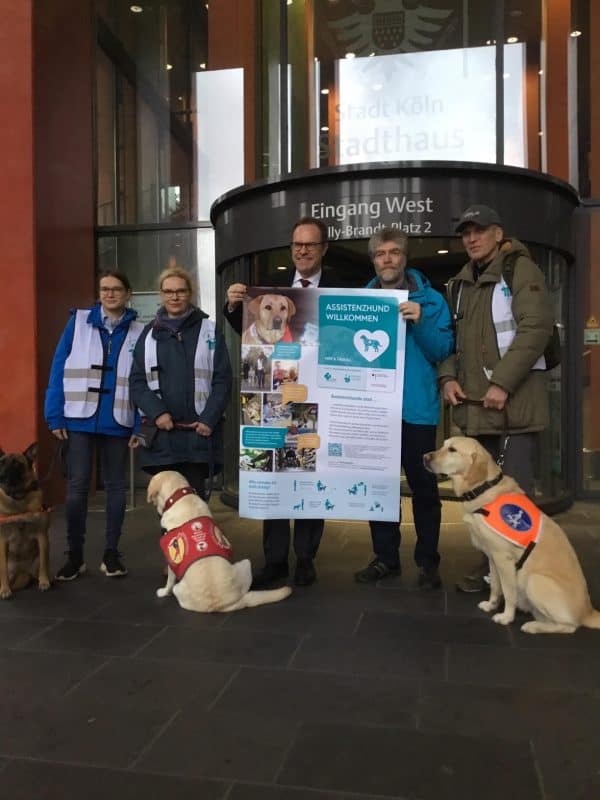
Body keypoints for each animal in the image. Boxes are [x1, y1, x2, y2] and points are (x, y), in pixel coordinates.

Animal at [149, 468, 292, 612]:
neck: (181, 497)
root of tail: (225, 604)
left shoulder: (172, 561)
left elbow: (169, 581)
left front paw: (163, 592)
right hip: (245, 565)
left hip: (182, 588)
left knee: (174, 587)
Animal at [426, 434, 600, 636]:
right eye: (443, 445)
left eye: (452, 450)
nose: (424, 457)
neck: (483, 488)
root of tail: (588, 611)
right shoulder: (492, 558)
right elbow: (495, 586)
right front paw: (491, 605)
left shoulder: (504, 559)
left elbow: (509, 592)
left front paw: (506, 617)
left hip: (534, 580)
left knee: (569, 626)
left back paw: (533, 626)